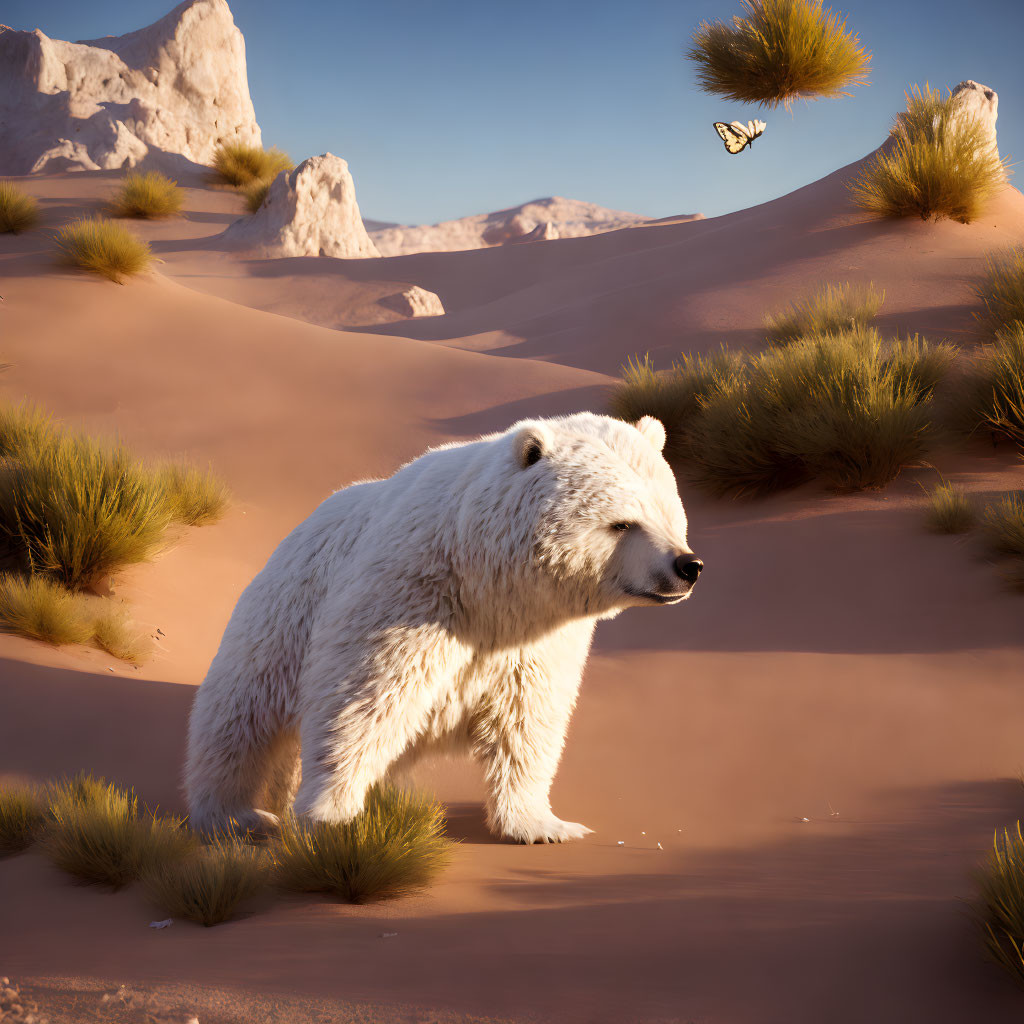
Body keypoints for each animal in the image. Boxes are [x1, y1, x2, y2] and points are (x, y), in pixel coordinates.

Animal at [184, 411, 700, 843]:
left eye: (670, 514)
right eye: (622, 523)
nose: (687, 566)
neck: (484, 581)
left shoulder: (536, 639)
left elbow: (528, 719)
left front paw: (544, 826)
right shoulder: (410, 596)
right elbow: (360, 702)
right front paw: (332, 816)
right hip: (280, 621)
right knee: (239, 723)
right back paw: (236, 815)